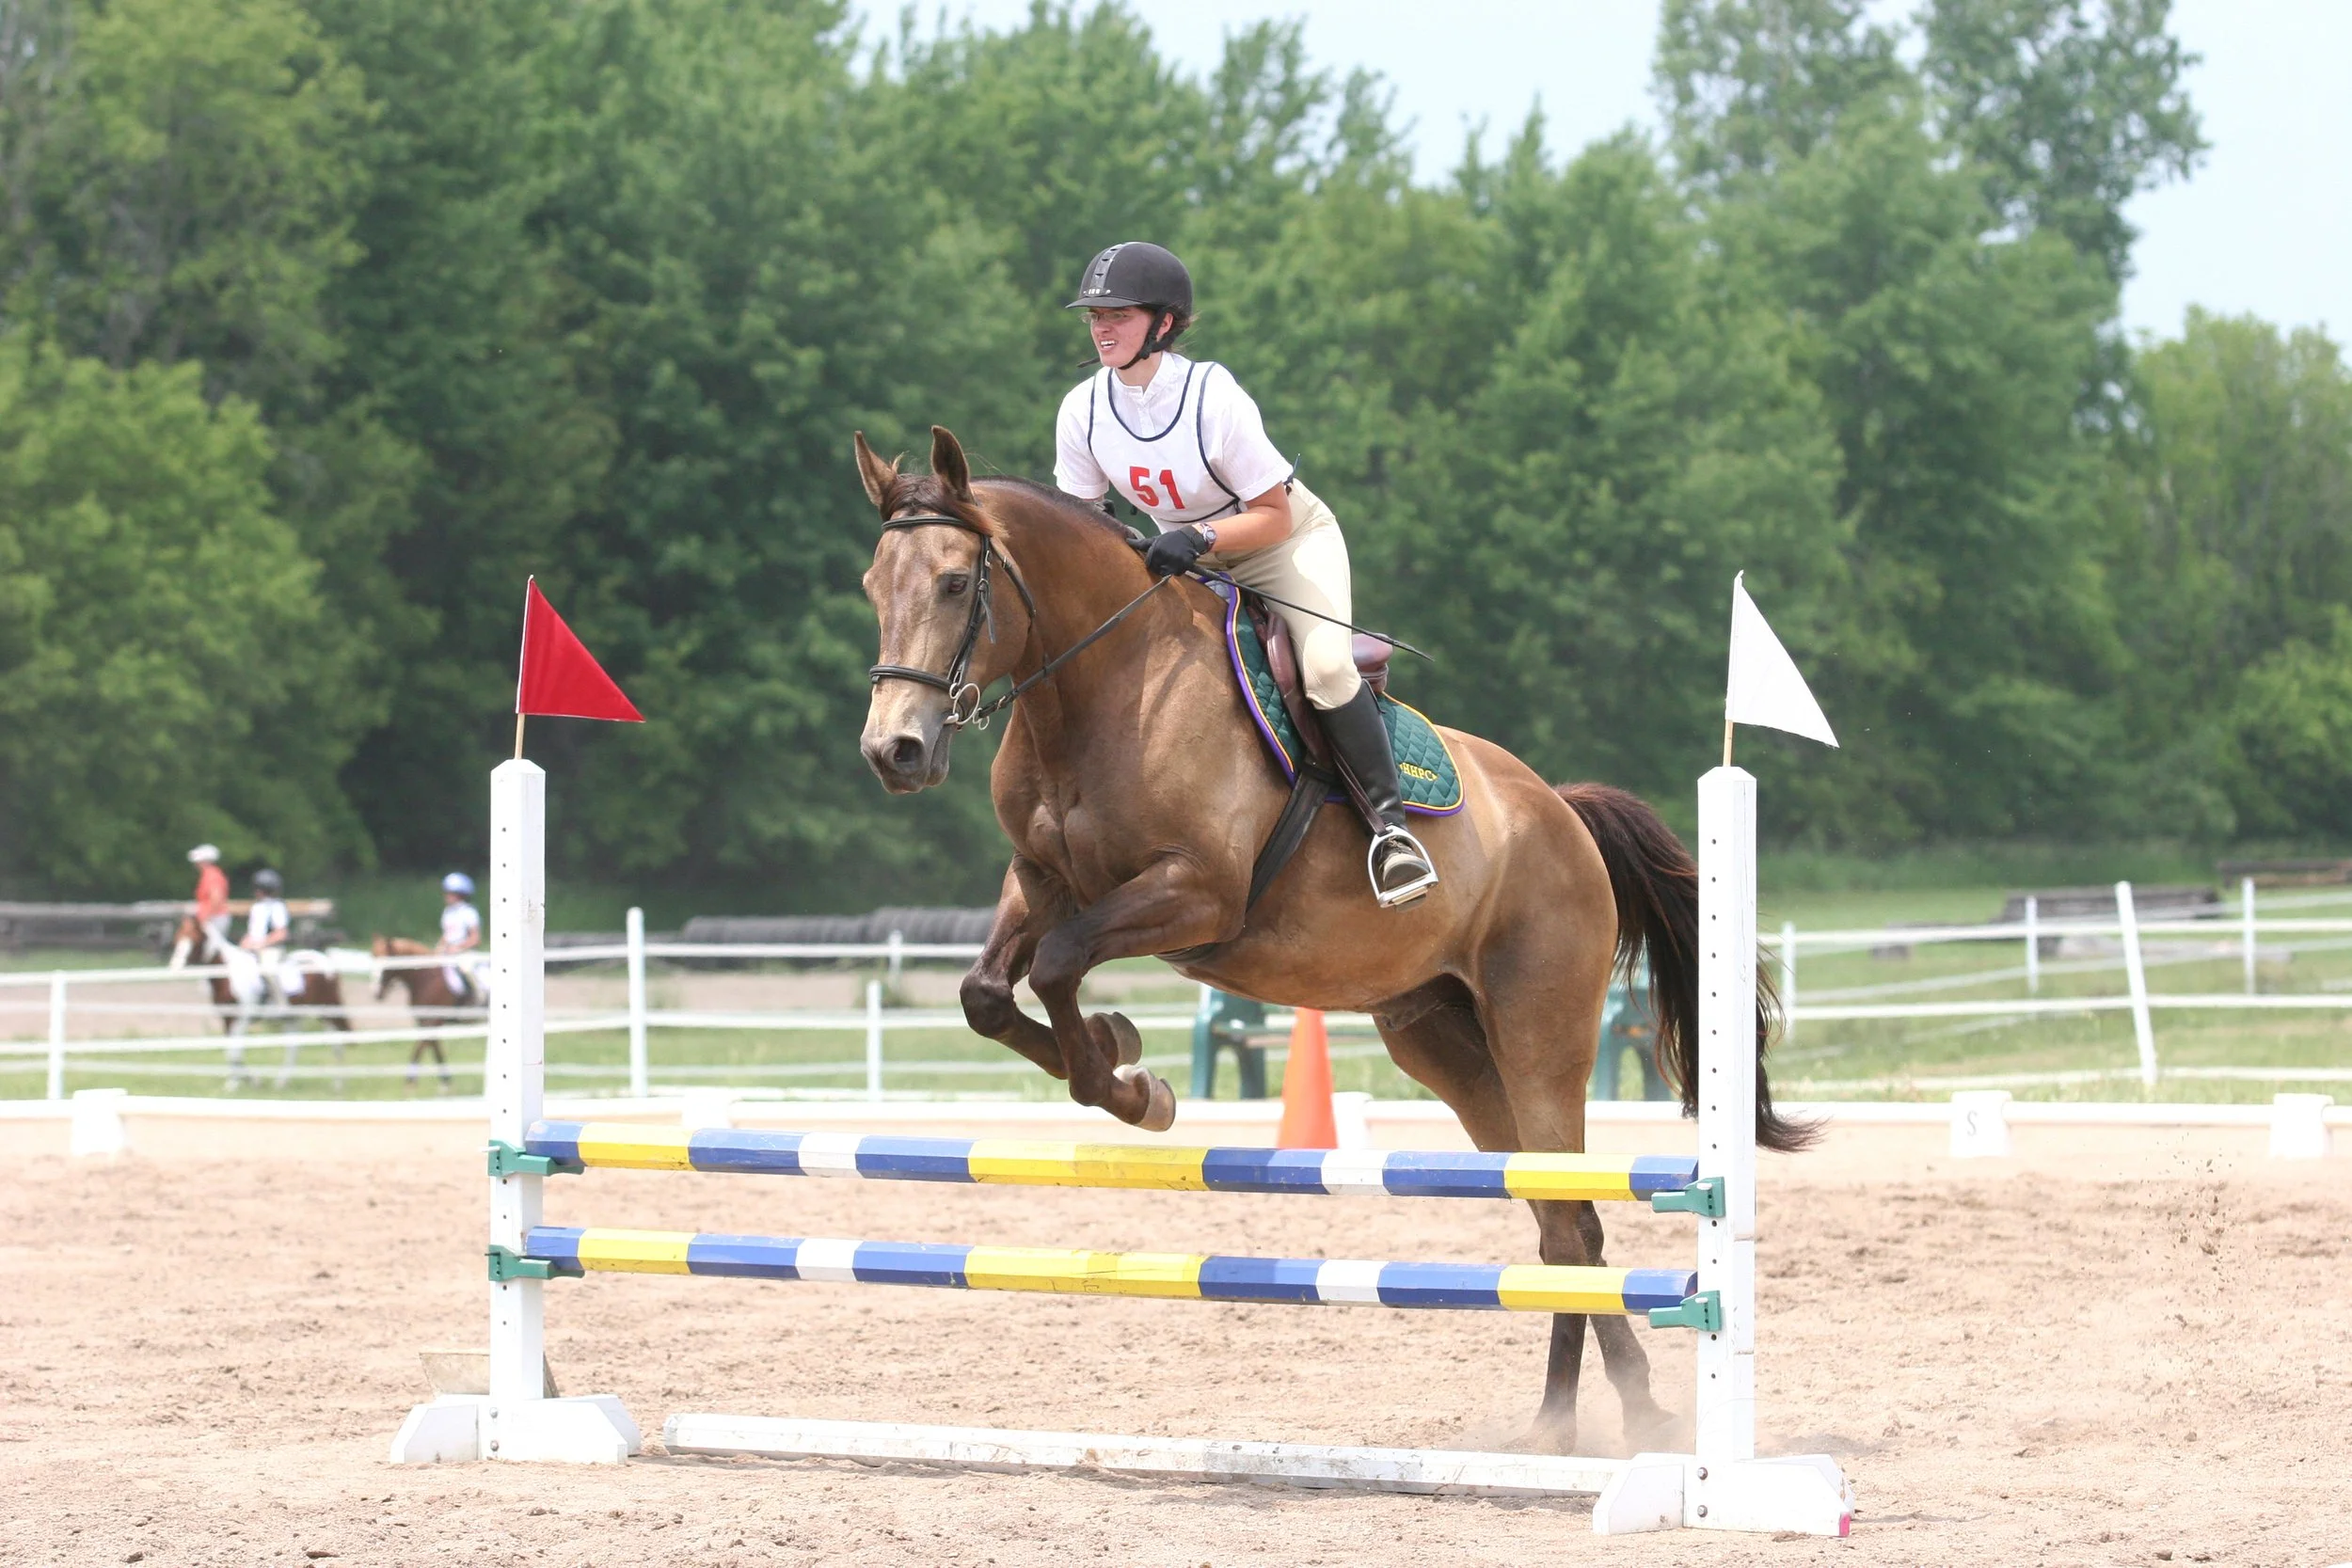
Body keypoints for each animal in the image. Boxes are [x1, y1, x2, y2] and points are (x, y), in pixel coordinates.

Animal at [167, 914, 351, 1089]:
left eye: (194, 939)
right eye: (178, 937)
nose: (175, 966)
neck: (228, 975)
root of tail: (325, 962)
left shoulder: (241, 1019)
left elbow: (235, 1052)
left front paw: (247, 1082)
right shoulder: (227, 1018)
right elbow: (230, 1052)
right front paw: (236, 1082)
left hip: (327, 1011)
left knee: (337, 1044)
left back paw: (338, 1084)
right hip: (293, 1017)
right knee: (293, 1048)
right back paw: (282, 1082)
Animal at [372, 935, 478, 1089]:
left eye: (389, 961)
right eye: (373, 956)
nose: (375, 992)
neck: (426, 978)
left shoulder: (432, 1020)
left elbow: (420, 1047)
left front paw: (410, 1083)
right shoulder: (425, 1021)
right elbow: (434, 1047)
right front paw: (446, 1082)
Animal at [853, 427, 1810, 1453]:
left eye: (956, 582)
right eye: (873, 583)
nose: (894, 752)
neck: (1100, 690)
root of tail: (1562, 811)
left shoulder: (1197, 894)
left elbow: (1066, 963)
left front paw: (1130, 1082)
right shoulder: (1038, 881)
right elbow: (988, 992)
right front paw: (1121, 1059)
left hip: (1537, 1034)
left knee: (1569, 1214)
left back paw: (1610, 1422)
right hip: (1443, 1041)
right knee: (1562, 1227)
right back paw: (1582, 1416)